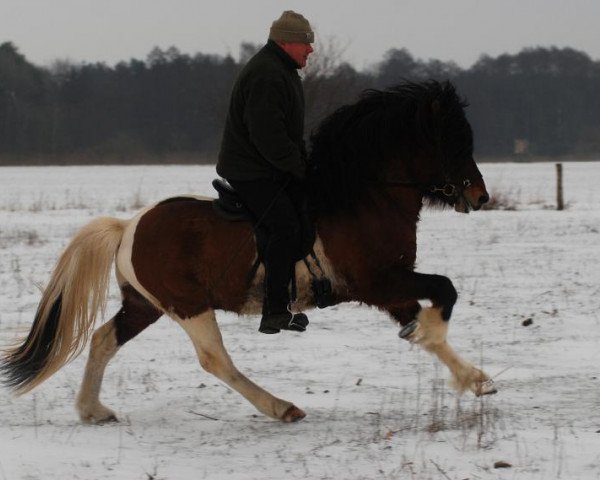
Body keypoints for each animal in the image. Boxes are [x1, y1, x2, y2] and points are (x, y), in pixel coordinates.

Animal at [1, 79, 496, 424]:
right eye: (452, 141)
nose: (480, 196)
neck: (362, 196)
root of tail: (127, 228)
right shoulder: (378, 281)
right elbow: (445, 292)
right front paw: (441, 344)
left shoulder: (390, 287)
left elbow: (426, 317)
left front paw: (473, 378)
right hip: (188, 306)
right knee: (214, 359)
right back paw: (280, 407)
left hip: (145, 305)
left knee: (104, 339)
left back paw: (92, 410)